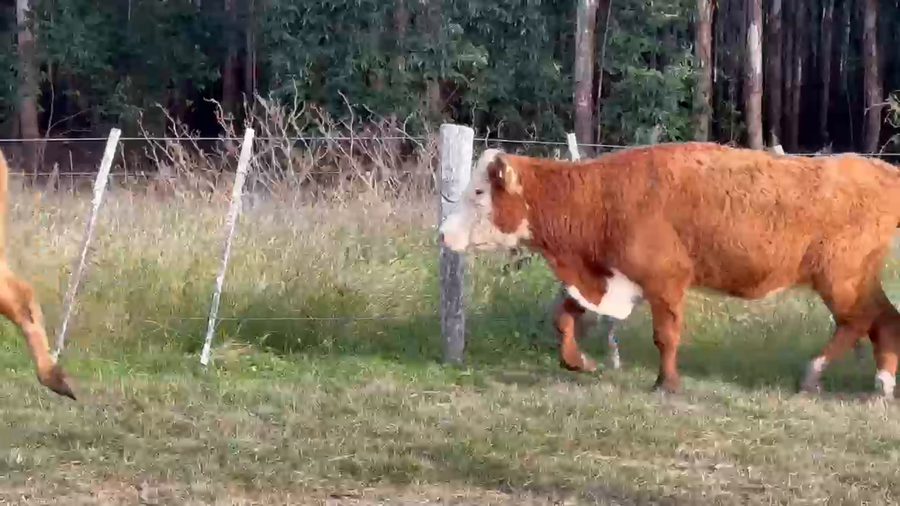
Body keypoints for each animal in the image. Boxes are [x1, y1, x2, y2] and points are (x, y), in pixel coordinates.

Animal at [438, 142, 900, 398]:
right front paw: (579, 362)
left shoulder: (665, 281)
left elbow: (666, 335)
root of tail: (880, 170)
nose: (443, 233)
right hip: (857, 278)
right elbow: (564, 317)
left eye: (478, 192)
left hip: (841, 279)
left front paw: (667, 382)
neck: (604, 196)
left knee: (860, 320)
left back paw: (813, 373)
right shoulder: (613, 277)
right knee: (883, 319)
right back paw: (881, 385)